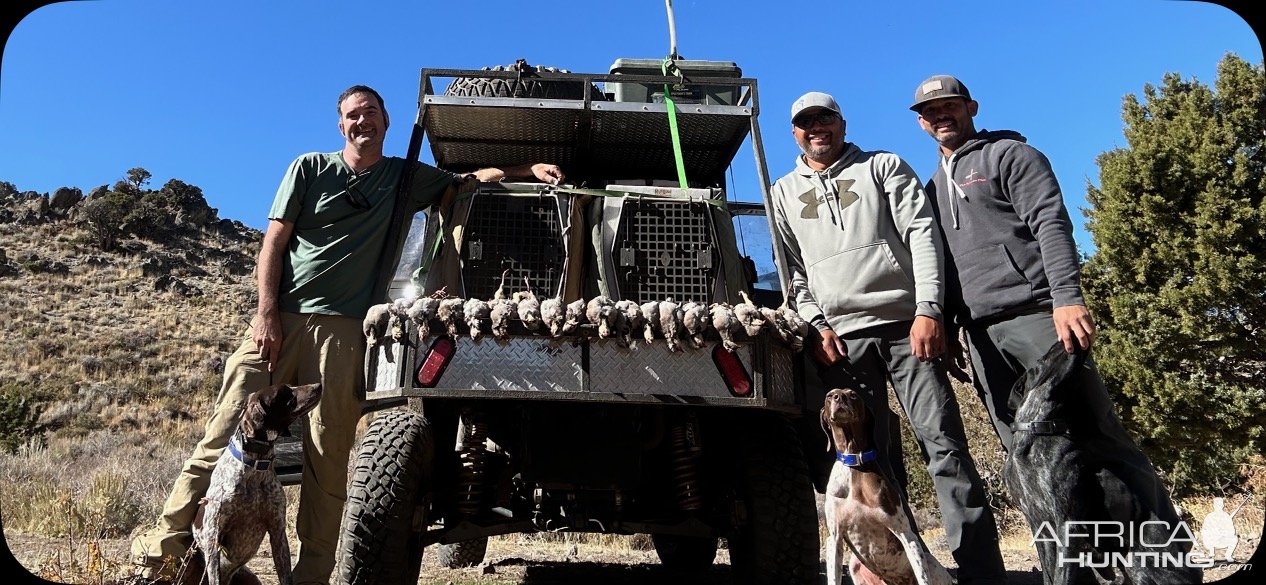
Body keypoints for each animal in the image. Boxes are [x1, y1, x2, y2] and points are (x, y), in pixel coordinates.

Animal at [192, 382, 324, 585]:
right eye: (285, 394)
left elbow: (286, 575)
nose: (318, 385)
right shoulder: (213, 536)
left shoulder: (277, 531)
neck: (255, 466)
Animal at [820, 387, 952, 585]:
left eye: (853, 395)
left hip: (929, 561)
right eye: (829, 395)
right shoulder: (834, 538)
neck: (855, 463)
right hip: (854, 565)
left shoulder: (906, 535)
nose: (839, 398)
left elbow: (922, 574)